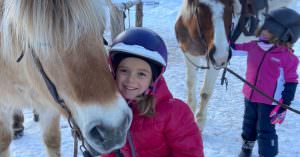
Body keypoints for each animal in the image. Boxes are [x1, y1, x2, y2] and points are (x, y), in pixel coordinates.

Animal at [0, 0, 132, 156]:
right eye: (42, 42)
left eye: (101, 29)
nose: (114, 129)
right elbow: (3, 141)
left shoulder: (49, 107)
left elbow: (52, 139)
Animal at [175, 0, 294, 129]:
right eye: (200, 7)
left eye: (230, 7)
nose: (221, 55)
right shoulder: (190, 55)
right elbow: (190, 84)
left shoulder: (214, 63)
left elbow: (205, 93)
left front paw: (199, 125)